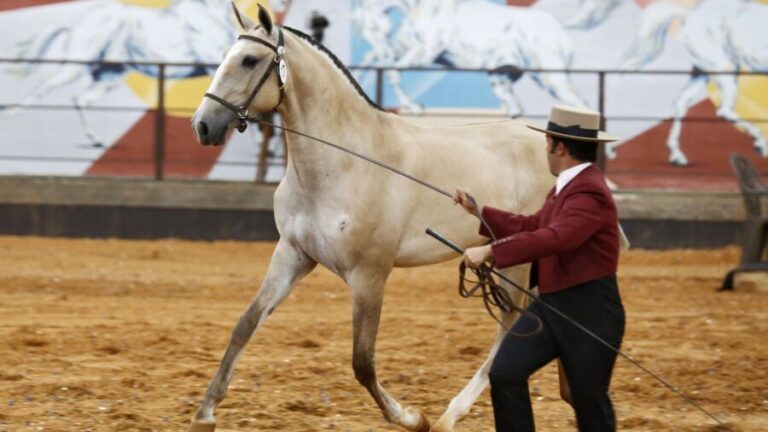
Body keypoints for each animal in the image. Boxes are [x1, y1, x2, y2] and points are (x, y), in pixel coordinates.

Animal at [190, 4, 555, 432]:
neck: (343, 163)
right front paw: (205, 412)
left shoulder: (369, 274)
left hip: (518, 259)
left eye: (249, 60)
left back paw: (450, 414)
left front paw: (411, 416)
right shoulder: (293, 255)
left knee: (510, 321)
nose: (203, 125)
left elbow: (362, 362)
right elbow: (246, 324)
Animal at [352, 0, 588, 117]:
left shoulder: (425, 52)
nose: (374, 39)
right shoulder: (406, 48)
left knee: (580, 104)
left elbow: (392, 71)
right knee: (515, 108)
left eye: (371, 24)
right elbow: (370, 58)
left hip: (552, 78)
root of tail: (558, 25)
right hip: (503, 78)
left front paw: (414, 106)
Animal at [609, 0, 768, 165]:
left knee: (681, 103)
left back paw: (677, 156)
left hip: (702, 72)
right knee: (724, 111)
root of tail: (688, 15)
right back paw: (761, 145)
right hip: (724, 67)